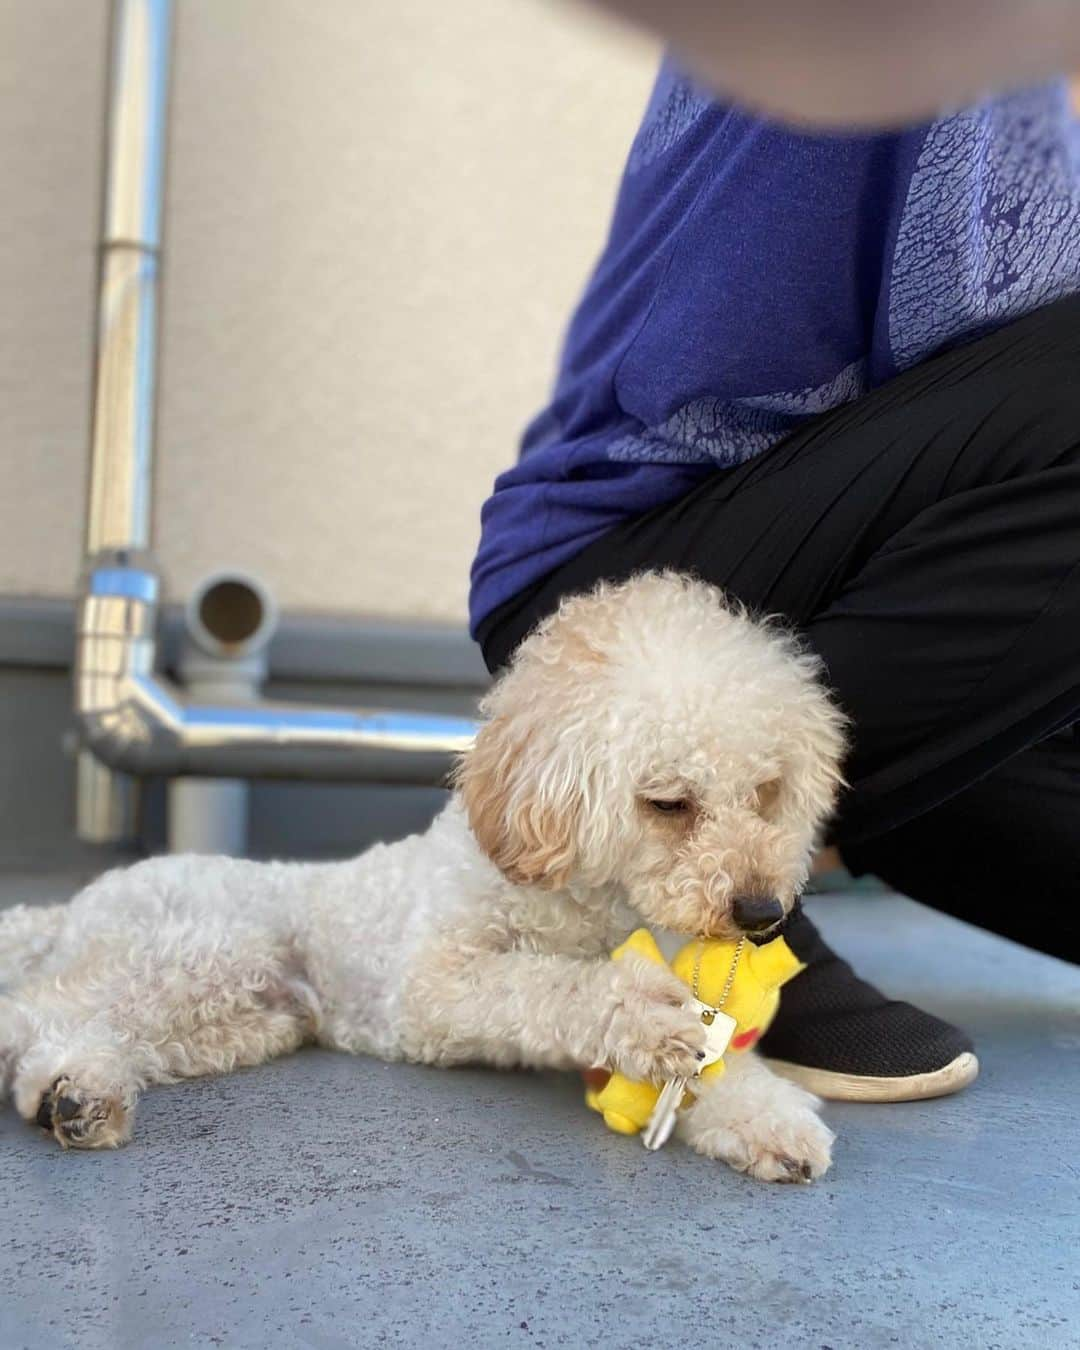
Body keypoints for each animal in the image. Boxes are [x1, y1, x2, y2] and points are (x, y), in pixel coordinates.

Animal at [0, 569, 842, 1182]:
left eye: (766, 791)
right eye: (669, 802)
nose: (762, 911)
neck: (584, 897)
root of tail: (70, 908)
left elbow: (717, 1060)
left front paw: (763, 1115)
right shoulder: (435, 981)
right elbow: (549, 988)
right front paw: (636, 1014)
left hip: (247, 1017)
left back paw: (74, 1094)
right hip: (203, 951)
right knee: (37, 1010)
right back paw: (74, 1091)